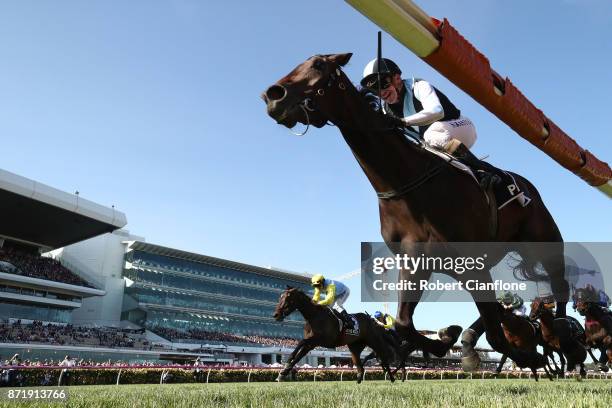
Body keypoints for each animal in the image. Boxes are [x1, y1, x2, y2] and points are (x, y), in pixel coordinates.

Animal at [262, 53, 568, 370]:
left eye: (319, 65)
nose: (273, 96)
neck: (406, 181)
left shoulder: (473, 264)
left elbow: (495, 335)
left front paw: (527, 354)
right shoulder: (415, 260)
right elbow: (403, 324)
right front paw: (445, 338)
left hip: (545, 241)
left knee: (561, 284)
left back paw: (560, 328)